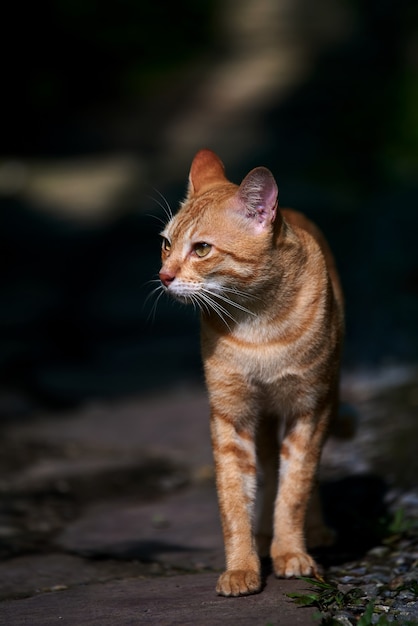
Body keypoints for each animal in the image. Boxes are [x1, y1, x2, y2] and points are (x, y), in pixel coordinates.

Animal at [158, 149, 344, 592]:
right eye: (166, 244)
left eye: (201, 249)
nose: (163, 276)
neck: (258, 323)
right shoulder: (231, 415)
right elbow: (234, 497)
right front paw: (242, 565)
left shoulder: (309, 409)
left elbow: (296, 488)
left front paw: (291, 552)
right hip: (262, 420)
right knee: (268, 468)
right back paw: (262, 537)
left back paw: (312, 531)